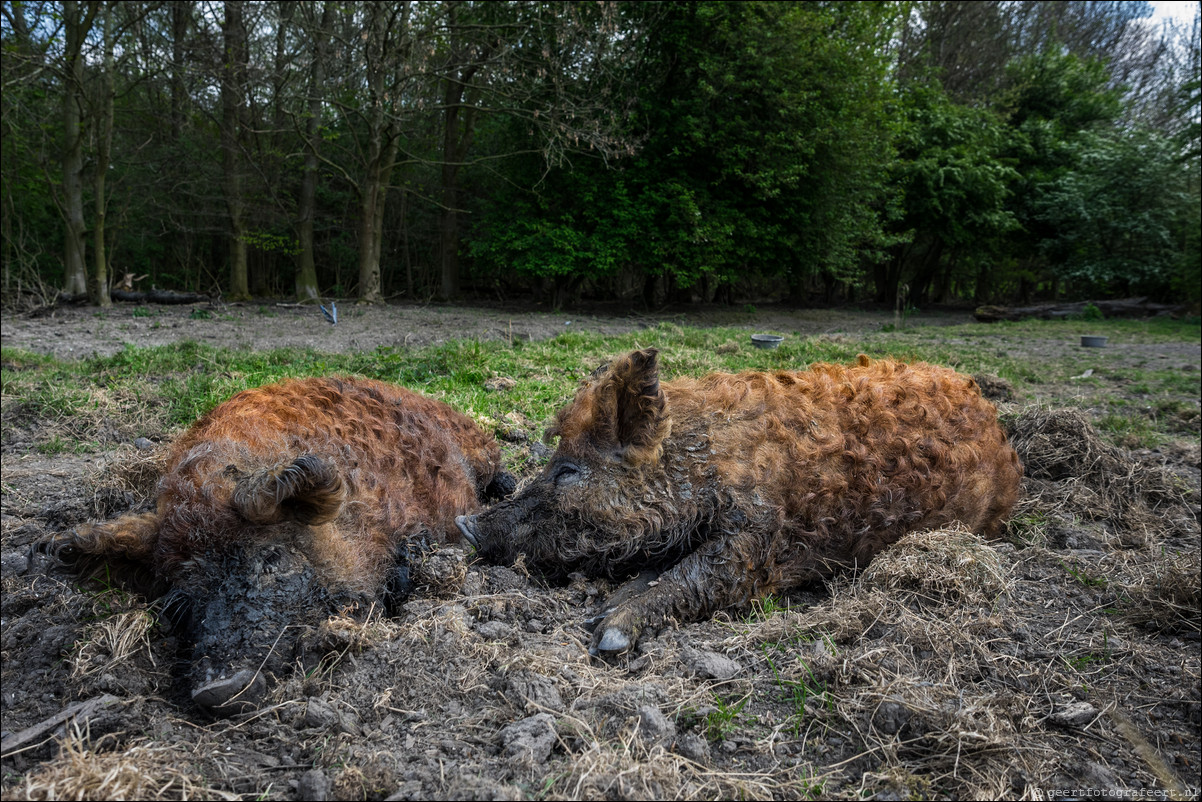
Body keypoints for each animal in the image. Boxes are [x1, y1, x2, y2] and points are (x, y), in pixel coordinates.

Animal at [454, 351, 1019, 658]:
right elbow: (657, 573)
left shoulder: (758, 542)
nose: (464, 523)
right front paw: (600, 612)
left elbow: (696, 576)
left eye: (568, 470)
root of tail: (991, 414)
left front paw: (607, 633)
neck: (702, 466)